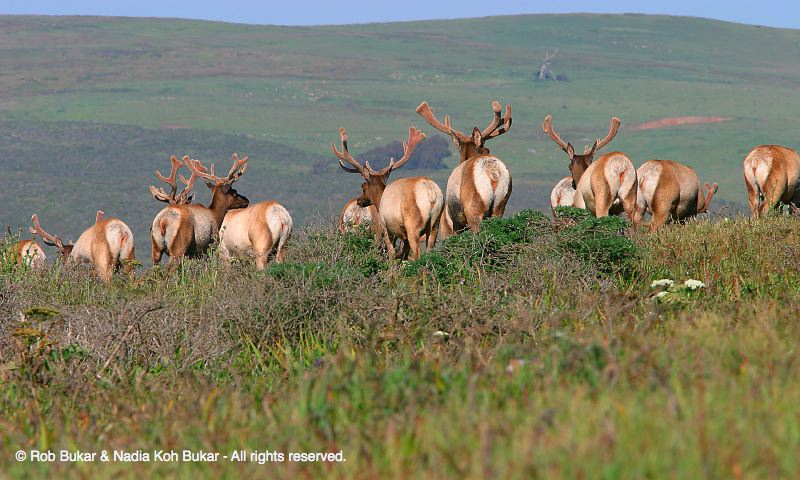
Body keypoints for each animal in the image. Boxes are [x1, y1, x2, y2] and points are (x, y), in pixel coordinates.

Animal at [332, 125, 444, 260]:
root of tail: (430, 191)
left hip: (410, 224)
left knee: (416, 253)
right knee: (429, 250)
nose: (359, 201)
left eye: (363, 186)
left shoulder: (386, 228)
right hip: (435, 223)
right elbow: (402, 253)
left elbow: (392, 254)